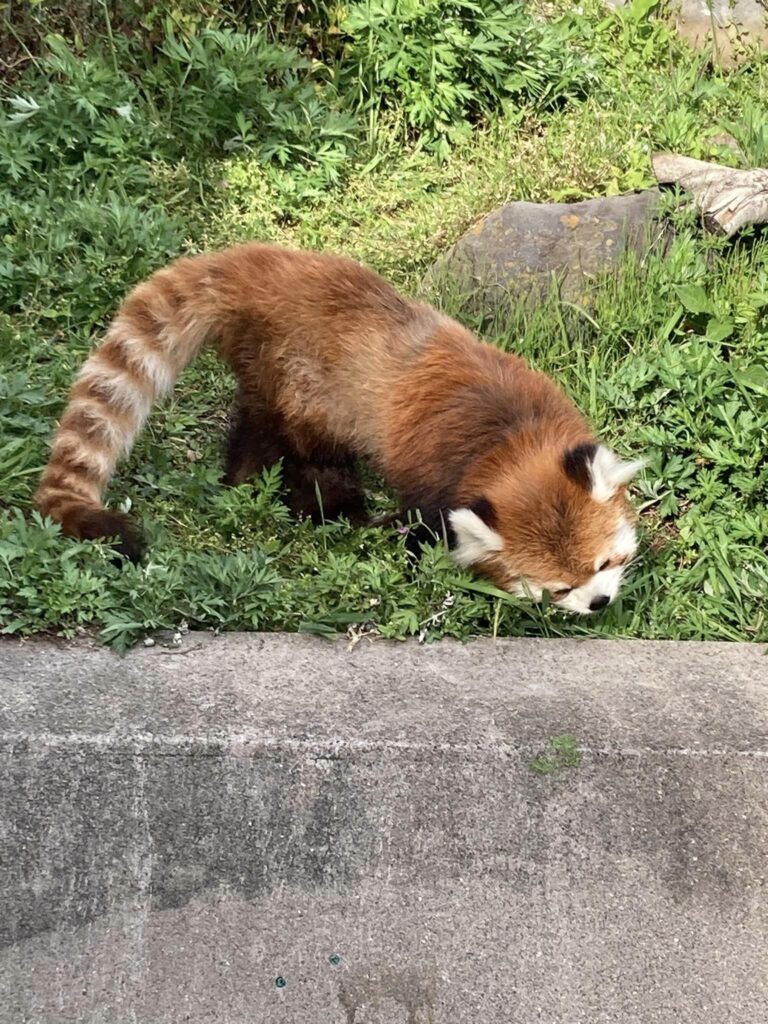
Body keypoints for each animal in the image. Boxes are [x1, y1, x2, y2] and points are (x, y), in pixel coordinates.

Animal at [34, 242, 643, 610]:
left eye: (606, 561)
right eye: (558, 587)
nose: (599, 602)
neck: (509, 440)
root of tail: (264, 267)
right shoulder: (434, 477)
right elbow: (424, 523)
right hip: (299, 385)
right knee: (298, 451)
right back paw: (319, 505)